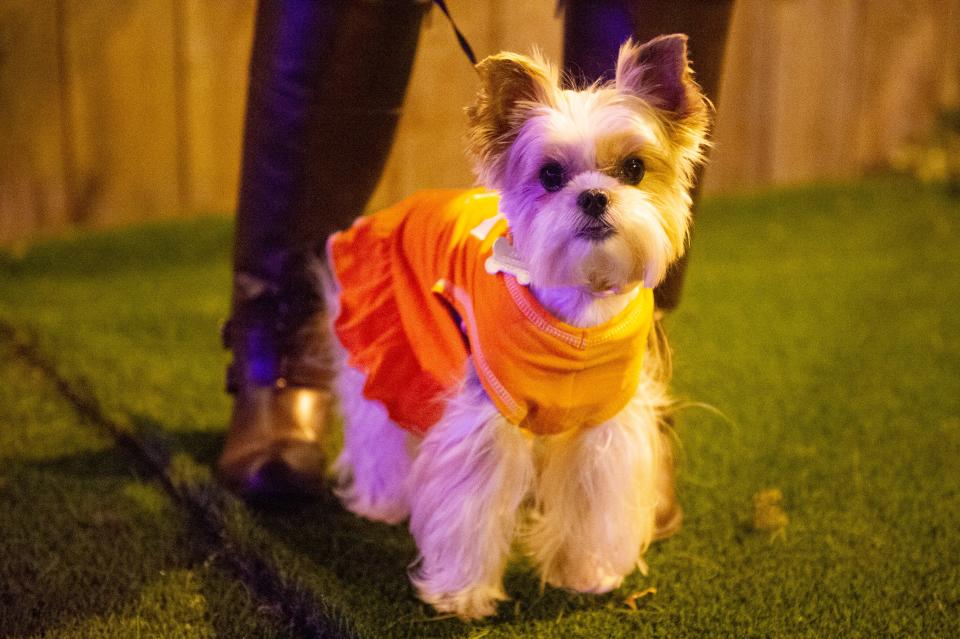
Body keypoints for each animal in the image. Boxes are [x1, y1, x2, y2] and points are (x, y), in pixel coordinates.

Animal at [326, 35, 708, 620]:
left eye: (634, 168)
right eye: (550, 175)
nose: (593, 195)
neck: (579, 307)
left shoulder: (603, 430)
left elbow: (591, 507)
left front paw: (585, 573)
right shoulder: (486, 421)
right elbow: (468, 508)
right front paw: (460, 593)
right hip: (391, 346)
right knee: (378, 431)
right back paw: (380, 501)